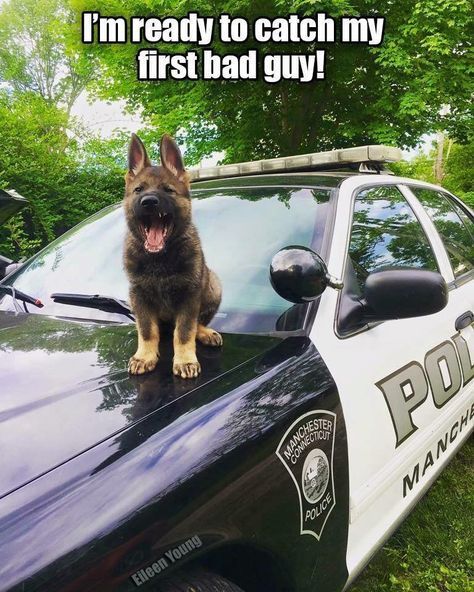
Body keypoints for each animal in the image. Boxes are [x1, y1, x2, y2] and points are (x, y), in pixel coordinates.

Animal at [124, 133, 224, 380]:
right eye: (138, 190)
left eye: (168, 190)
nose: (149, 202)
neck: (159, 259)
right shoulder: (139, 296)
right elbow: (147, 330)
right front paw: (144, 356)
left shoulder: (189, 296)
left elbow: (185, 331)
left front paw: (185, 360)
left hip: (213, 285)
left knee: (197, 323)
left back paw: (205, 332)